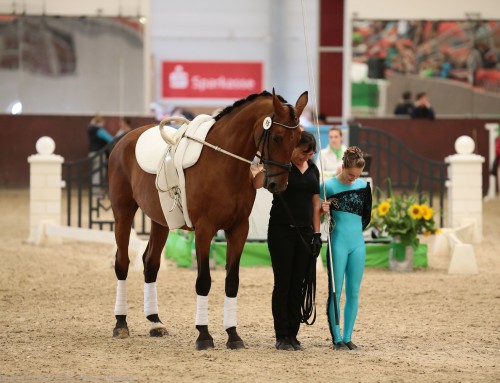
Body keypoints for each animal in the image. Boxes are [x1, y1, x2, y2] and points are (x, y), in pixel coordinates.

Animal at [107, 89, 306, 352]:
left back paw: (155, 322)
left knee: (151, 263)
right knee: (122, 263)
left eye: (297, 139)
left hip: (161, 222)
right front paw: (204, 335)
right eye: (276, 137)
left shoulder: (238, 229)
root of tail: (124, 139)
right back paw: (120, 323)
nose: (277, 184)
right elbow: (203, 281)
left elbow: (232, 281)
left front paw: (233, 335)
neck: (224, 163)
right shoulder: (204, 230)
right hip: (123, 213)